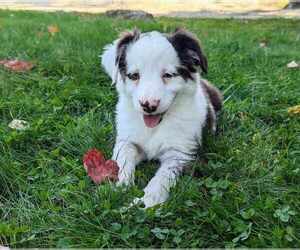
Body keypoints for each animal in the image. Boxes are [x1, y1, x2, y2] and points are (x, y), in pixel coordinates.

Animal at [101, 27, 223, 207]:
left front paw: (148, 200)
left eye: (168, 75)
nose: (148, 106)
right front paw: (121, 185)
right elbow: (122, 159)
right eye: (134, 76)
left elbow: (164, 176)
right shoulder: (127, 140)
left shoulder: (181, 153)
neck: (155, 126)